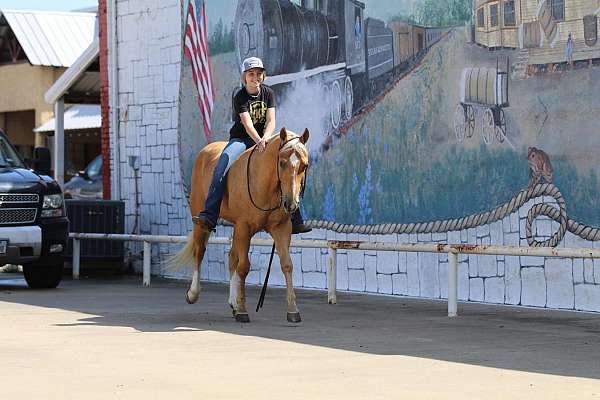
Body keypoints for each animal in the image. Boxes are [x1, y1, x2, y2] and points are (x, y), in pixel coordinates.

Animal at [170, 130, 310, 324]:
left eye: (304, 165)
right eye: (281, 163)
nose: (291, 204)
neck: (264, 183)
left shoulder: (281, 229)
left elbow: (286, 264)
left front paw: (293, 310)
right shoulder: (245, 227)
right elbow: (243, 267)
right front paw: (243, 310)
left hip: (236, 228)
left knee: (231, 258)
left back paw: (233, 303)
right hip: (201, 220)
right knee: (199, 252)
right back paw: (193, 294)